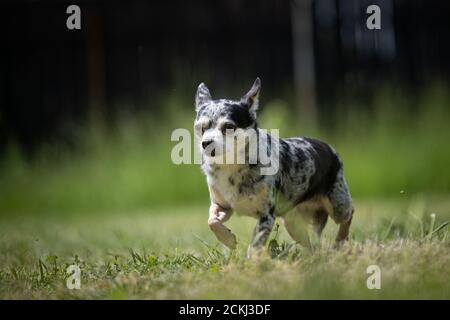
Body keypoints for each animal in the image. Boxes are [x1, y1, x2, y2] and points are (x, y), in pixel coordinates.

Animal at [195, 77, 354, 258]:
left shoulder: (266, 216)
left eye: (229, 127)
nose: (206, 143)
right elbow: (212, 221)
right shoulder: (222, 206)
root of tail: (330, 149)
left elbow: (255, 245)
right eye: (201, 128)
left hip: (338, 205)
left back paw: (340, 240)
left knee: (349, 215)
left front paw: (252, 261)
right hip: (293, 224)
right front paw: (228, 239)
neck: (231, 166)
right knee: (310, 245)